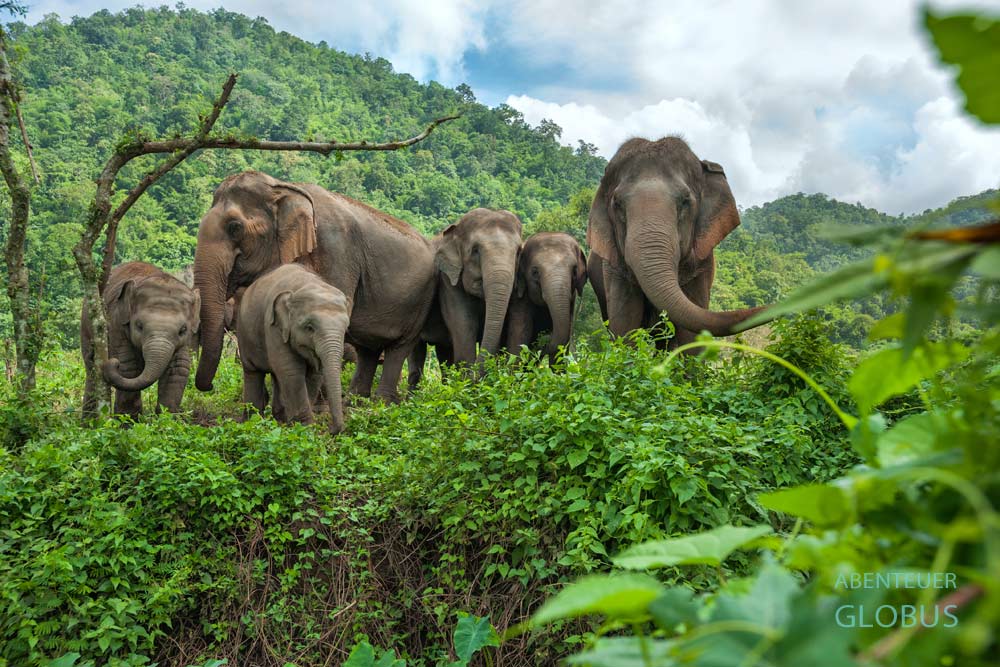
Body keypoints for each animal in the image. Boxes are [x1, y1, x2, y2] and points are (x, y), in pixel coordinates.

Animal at [81, 262, 200, 417]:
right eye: (139, 325)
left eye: (183, 330)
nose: (112, 362)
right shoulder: (116, 323)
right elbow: (129, 367)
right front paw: (128, 420)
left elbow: (178, 369)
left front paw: (167, 419)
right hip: (86, 325)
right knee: (91, 373)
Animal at [192, 170, 436, 403]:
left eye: (235, 227)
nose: (209, 387)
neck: (282, 187)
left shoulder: (337, 251)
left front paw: (315, 404)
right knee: (368, 350)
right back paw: (355, 401)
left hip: (420, 303)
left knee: (399, 347)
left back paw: (382, 402)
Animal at [236, 264, 350, 435]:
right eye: (309, 327)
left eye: (345, 329)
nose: (332, 430)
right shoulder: (273, 327)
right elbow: (291, 370)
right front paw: (306, 427)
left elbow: (314, 374)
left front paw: (299, 424)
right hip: (245, 335)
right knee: (253, 372)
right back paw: (252, 421)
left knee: (276, 375)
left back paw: (280, 418)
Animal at [587, 137, 768, 349]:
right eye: (617, 204)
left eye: (685, 201)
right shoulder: (613, 269)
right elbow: (624, 327)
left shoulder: (702, 265)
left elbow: (691, 336)